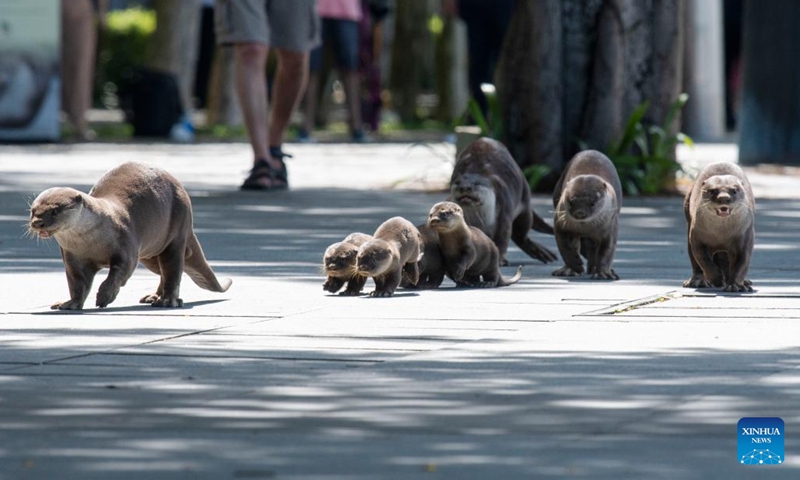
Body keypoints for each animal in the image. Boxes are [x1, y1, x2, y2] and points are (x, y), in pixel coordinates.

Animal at [27, 163, 231, 310]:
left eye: (55, 210)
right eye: (33, 211)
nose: (37, 223)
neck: (90, 242)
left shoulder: (125, 243)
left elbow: (119, 272)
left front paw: (104, 297)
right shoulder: (72, 257)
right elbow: (77, 282)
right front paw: (69, 304)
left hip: (177, 231)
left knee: (172, 269)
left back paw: (167, 301)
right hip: (150, 255)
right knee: (163, 272)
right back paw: (153, 297)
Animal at [552, 148, 620, 280]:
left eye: (592, 203)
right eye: (570, 201)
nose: (580, 213)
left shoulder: (610, 228)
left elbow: (607, 251)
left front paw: (603, 273)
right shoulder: (559, 224)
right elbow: (564, 248)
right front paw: (576, 265)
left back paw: (595, 269)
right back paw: (568, 270)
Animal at [680, 162, 756, 292]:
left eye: (734, 190)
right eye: (712, 190)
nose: (724, 198)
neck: (721, 234)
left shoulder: (745, 236)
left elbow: (741, 262)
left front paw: (734, 285)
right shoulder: (697, 237)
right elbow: (704, 260)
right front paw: (717, 279)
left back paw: (744, 283)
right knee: (696, 263)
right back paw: (697, 281)